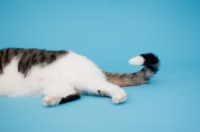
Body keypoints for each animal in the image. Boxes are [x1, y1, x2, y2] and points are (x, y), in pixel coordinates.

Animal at [0, 48, 159, 106]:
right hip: (55, 86)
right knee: (74, 93)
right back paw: (52, 100)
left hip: (85, 80)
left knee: (110, 86)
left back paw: (119, 97)